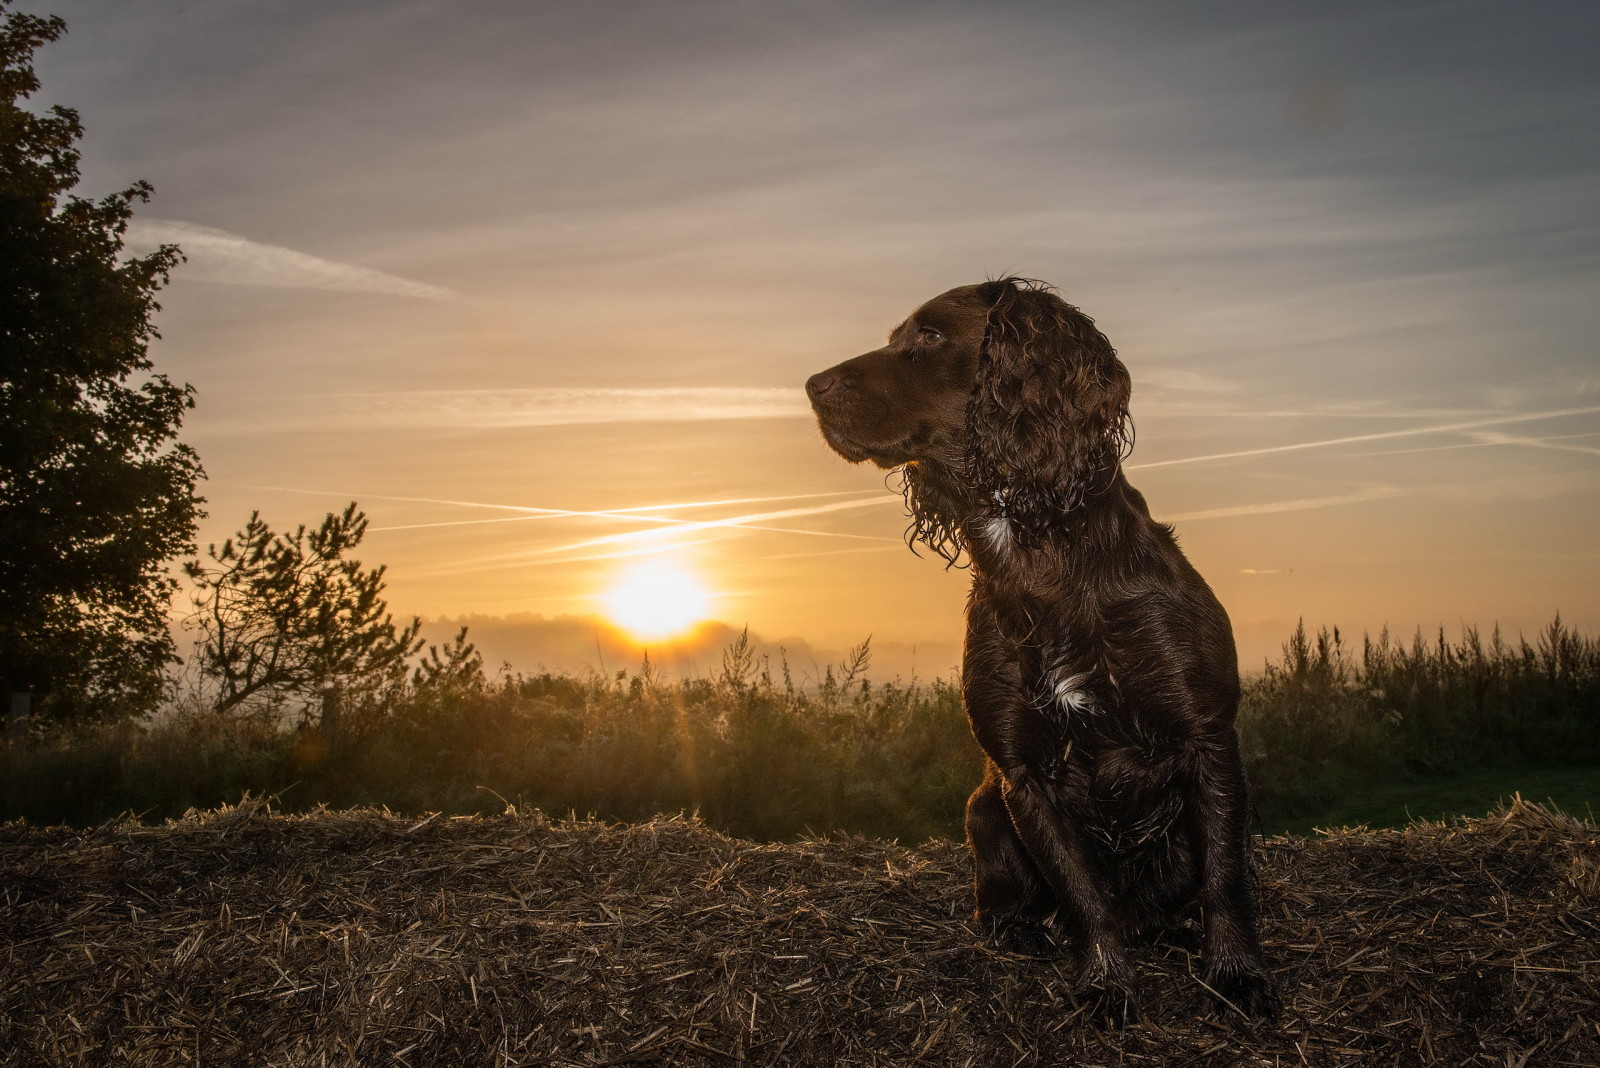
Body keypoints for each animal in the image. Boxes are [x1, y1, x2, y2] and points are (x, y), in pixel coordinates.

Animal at [806, 279, 1280, 1023]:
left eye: (930, 336)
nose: (811, 386)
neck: (1037, 551)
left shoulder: (1207, 737)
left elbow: (1224, 877)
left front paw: (1237, 976)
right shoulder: (1022, 772)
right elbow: (1081, 892)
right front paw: (1106, 982)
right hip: (983, 808)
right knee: (1007, 898)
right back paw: (1021, 930)